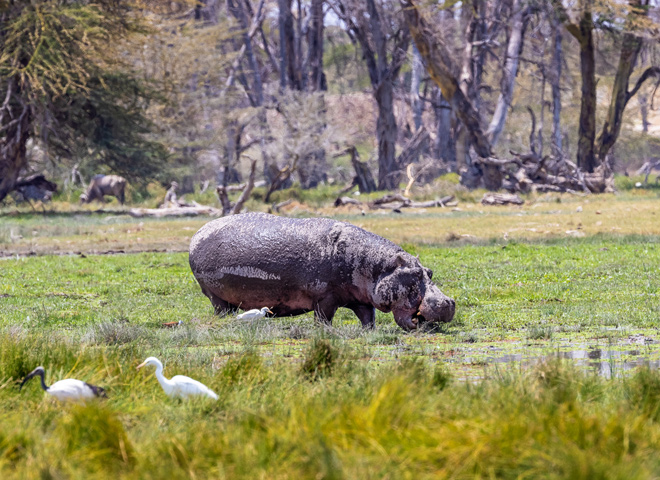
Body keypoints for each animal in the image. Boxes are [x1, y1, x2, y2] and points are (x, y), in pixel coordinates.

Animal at [188, 213, 455, 330]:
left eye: (429, 271)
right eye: (415, 275)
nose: (448, 302)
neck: (378, 267)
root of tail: (198, 233)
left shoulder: (361, 297)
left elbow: (368, 317)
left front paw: (367, 332)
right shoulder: (325, 298)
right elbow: (324, 318)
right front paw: (325, 332)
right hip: (215, 297)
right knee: (221, 310)